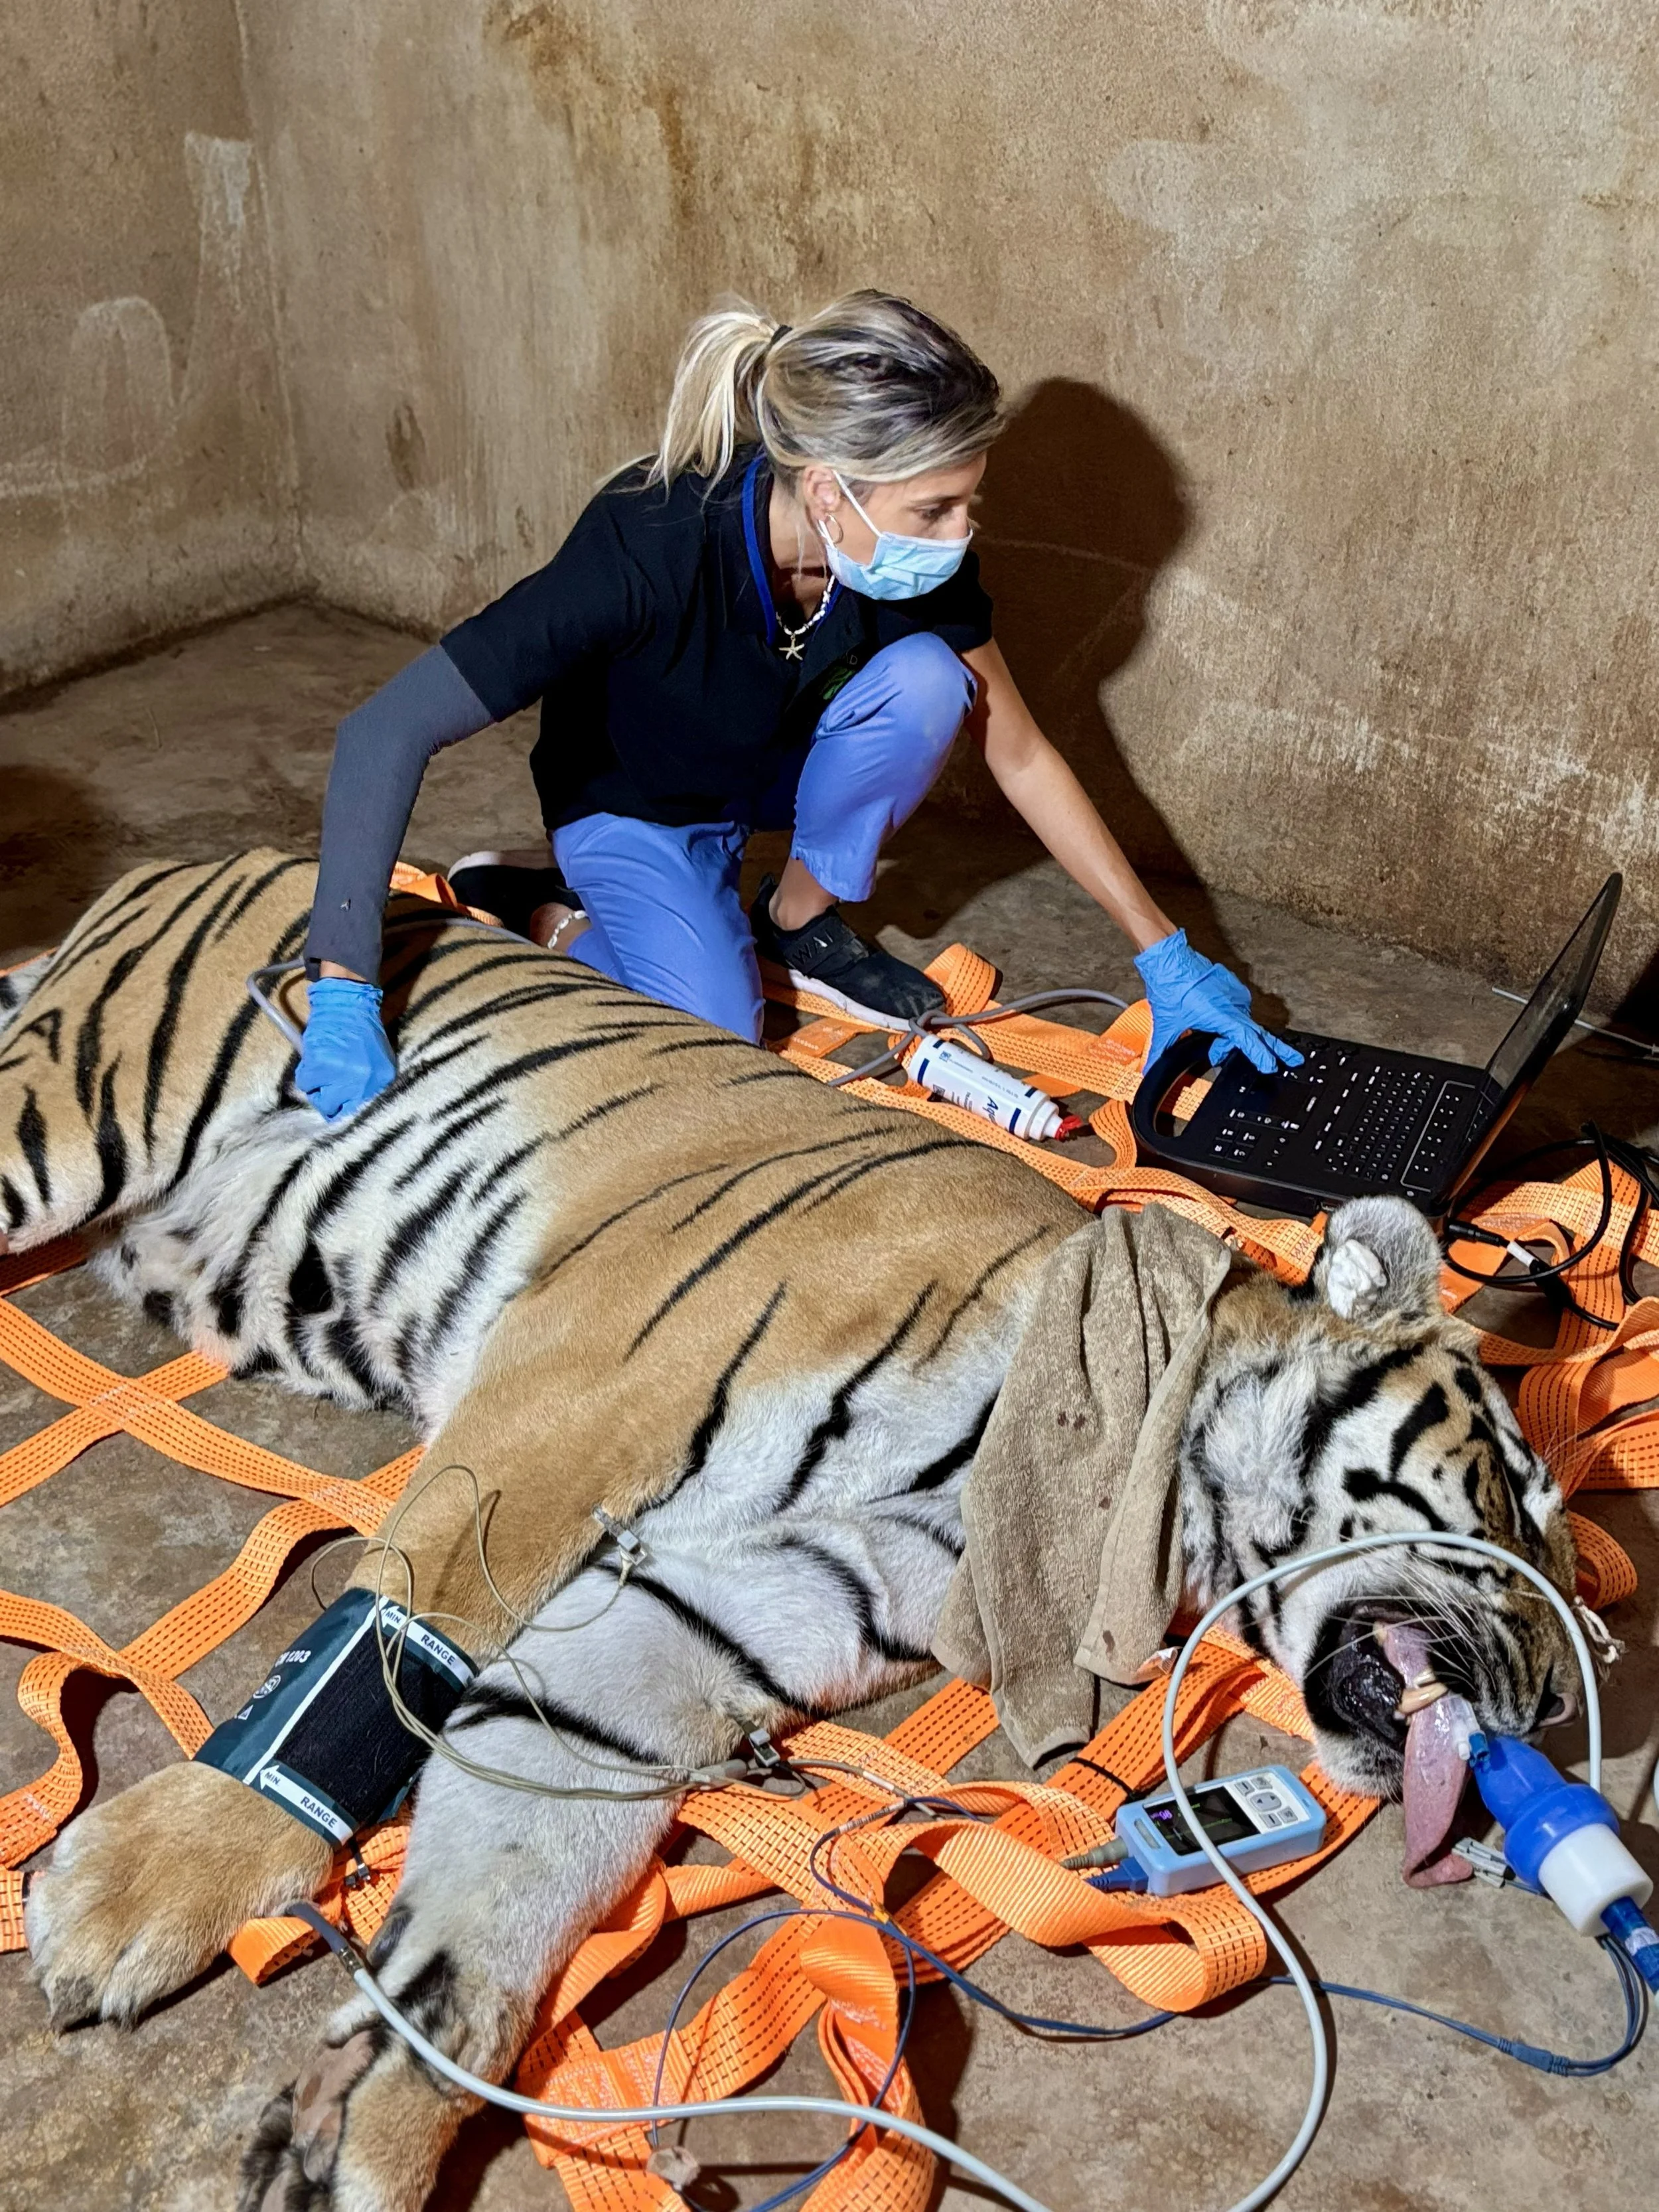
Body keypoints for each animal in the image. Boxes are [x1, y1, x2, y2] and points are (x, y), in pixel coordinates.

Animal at [0, 853, 1579, 2212]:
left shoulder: (691, 1617)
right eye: (1517, 1495)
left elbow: (510, 1866)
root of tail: (198, 860)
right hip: (61, 1123)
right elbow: (401, 1622)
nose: (1563, 1704)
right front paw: (161, 1872)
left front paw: (372, 2115)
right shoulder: (582, 1391)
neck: (1136, 1490)